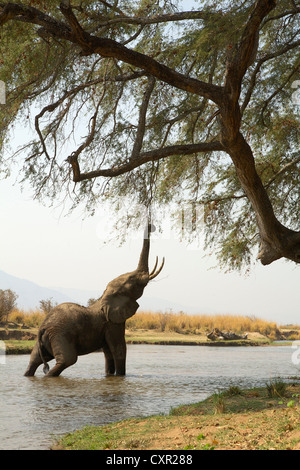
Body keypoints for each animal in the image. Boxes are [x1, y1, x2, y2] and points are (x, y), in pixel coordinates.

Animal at [23, 225, 164, 378]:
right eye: (134, 281)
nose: (151, 226)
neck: (105, 296)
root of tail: (42, 327)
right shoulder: (113, 323)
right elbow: (119, 349)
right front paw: (121, 377)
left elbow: (108, 353)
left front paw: (109, 376)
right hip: (60, 335)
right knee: (68, 360)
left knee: (34, 360)